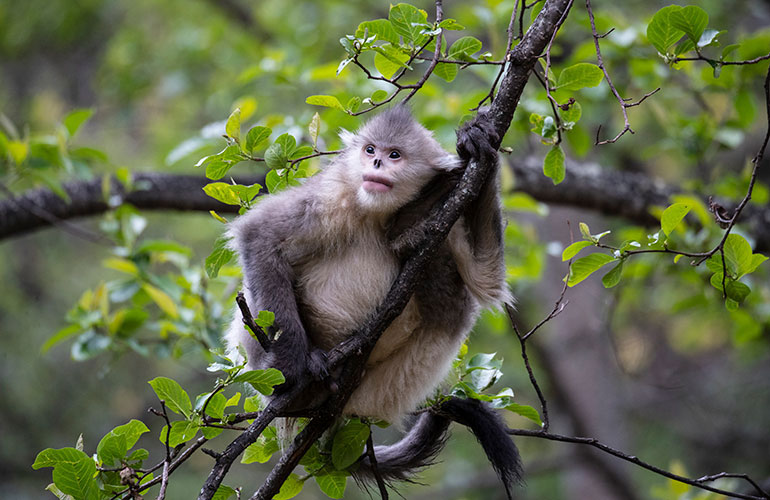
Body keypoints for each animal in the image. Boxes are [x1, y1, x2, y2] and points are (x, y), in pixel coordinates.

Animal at [225, 106, 522, 497]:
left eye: (394, 154)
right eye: (370, 150)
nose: (378, 162)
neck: (375, 212)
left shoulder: (449, 219)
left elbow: (485, 281)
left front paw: (477, 144)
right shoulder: (330, 196)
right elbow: (258, 235)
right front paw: (290, 367)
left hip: (387, 384)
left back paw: (405, 234)